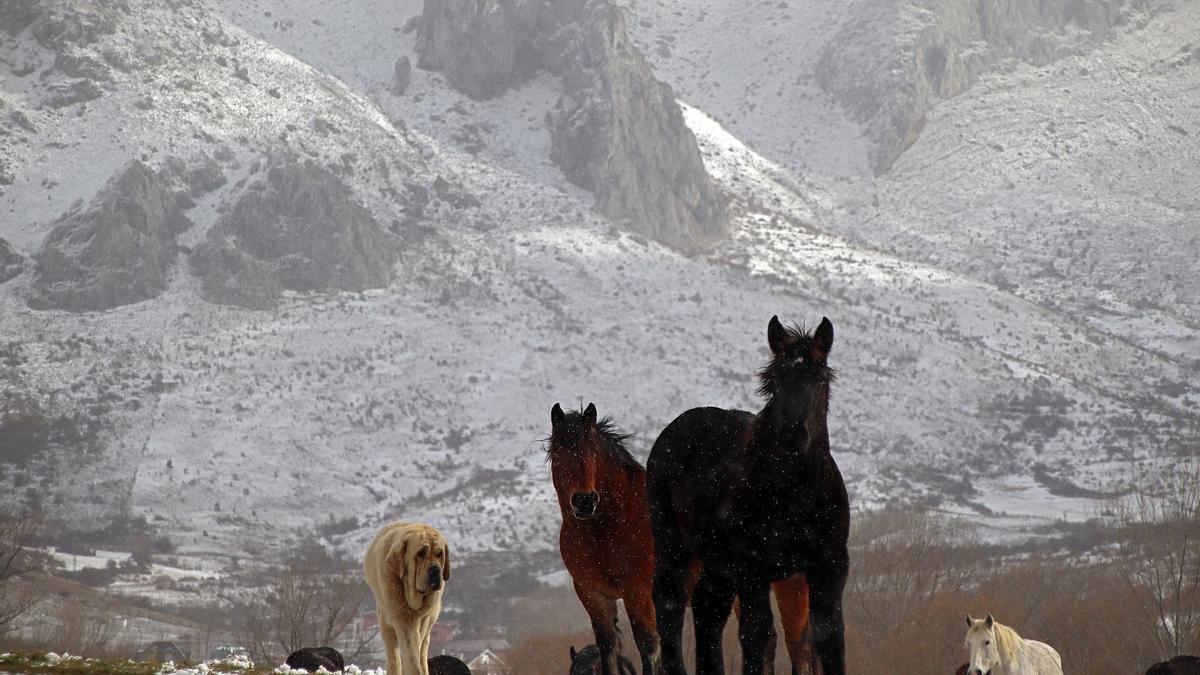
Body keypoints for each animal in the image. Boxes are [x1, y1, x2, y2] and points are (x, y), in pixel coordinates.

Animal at [364, 521, 451, 672]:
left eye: (440, 554)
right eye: (420, 553)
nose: (435, 570)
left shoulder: (422, 620)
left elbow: (416, 652)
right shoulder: (403, 620)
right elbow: (409, 654)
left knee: (422, 651)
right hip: (385, 623)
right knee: (393, 655)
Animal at [549, 401, 816, 667]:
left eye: (592, 452)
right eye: (557, 453)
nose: (584, 501)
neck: (606, 527)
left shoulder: (638, 592)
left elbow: (648, 646)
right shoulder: (593, 595)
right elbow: (608, 649)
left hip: (791, 584)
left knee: (798, 644)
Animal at [652, 317, 849, 672]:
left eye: (820, 376)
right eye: (776, 378)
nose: (793, 436)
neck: (795, 496)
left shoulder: (830, 568)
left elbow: (830, 637)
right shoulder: (753, 570)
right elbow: (756, 634)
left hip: (718, 565)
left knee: (707, 610)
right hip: (674, 547)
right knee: (670, 606)